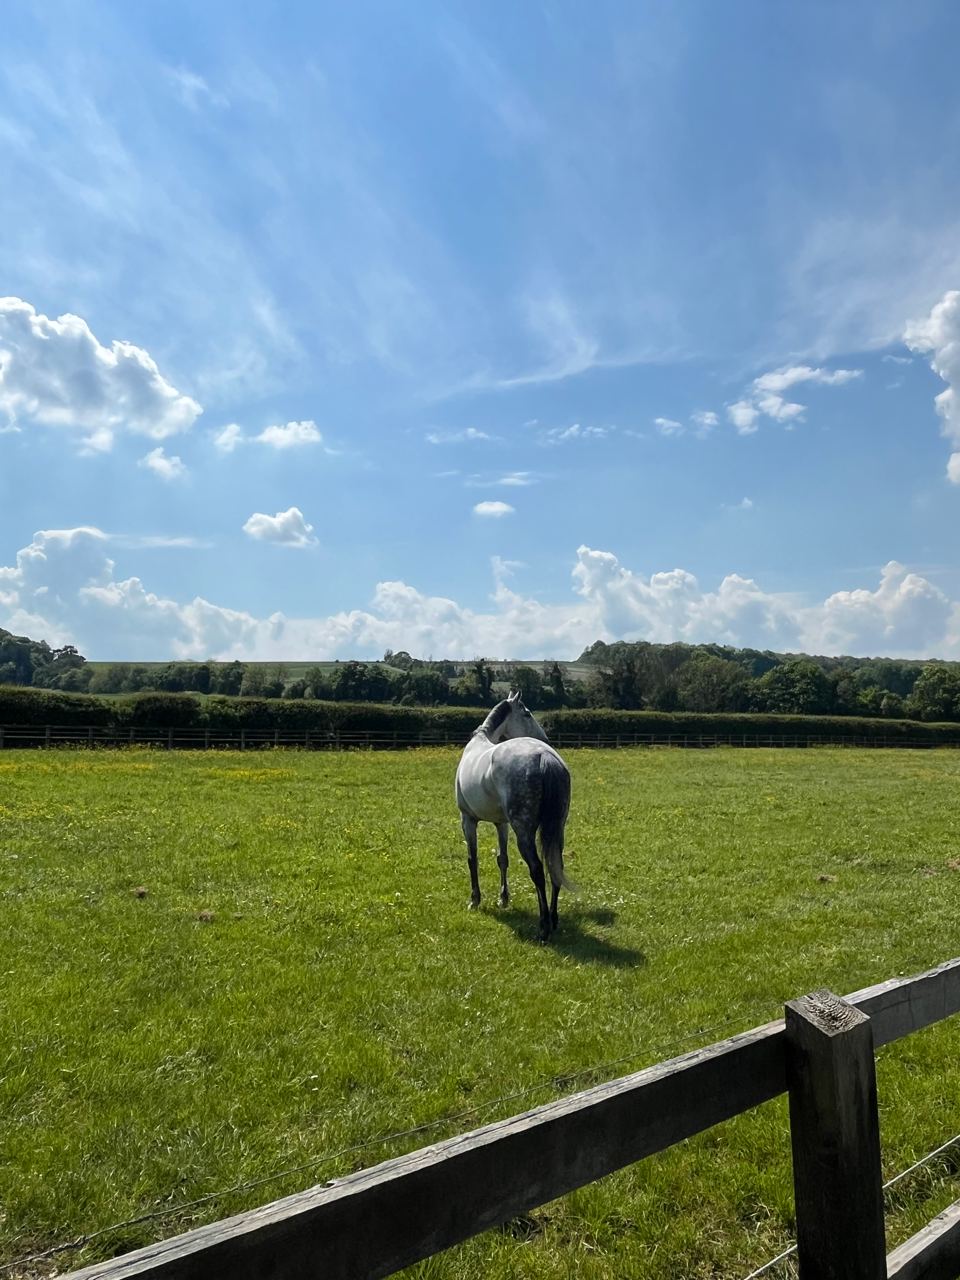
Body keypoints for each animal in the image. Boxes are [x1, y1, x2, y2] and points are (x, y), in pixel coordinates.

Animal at [455, 691, 573, 942]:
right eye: (527, 713)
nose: (546, 738)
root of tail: (544, 756)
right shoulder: (502, 824)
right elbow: (502, 859)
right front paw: (503, 899)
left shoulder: (467, 820)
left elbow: (472, 859)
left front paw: (475, 900)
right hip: (557, 829)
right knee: (555, 866)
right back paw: (554, 920)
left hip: (524, 832)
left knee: (537, 870)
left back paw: (543, 927)